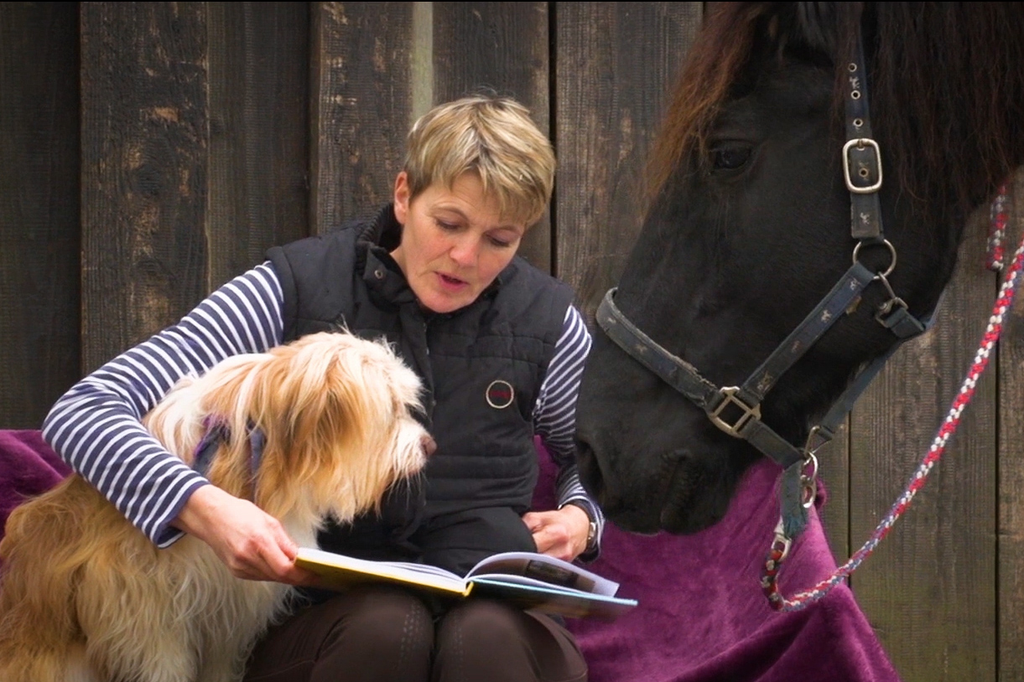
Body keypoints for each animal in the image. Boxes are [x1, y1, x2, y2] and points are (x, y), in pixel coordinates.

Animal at [0, 329, 430, 679]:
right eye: (393, 408)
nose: (430, 445)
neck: (261, 451)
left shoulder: (229, 612)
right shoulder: (148, 614)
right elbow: (165, 667)